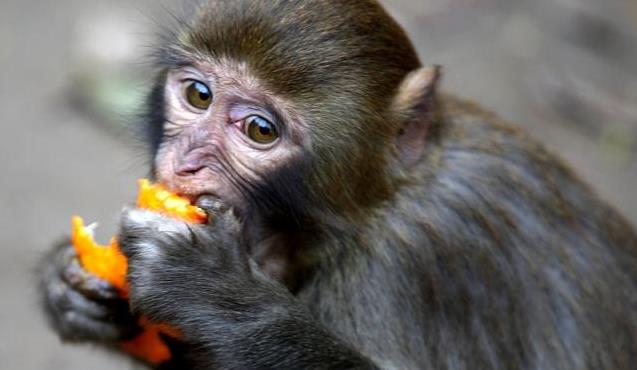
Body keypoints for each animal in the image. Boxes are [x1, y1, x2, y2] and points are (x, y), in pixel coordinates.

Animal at [38, 0, 636, 370]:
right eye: (198, 95)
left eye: (260, 130)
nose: (183, 164)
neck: (376, 205)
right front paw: (68, 284)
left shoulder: (409, 262)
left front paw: (214, 291)